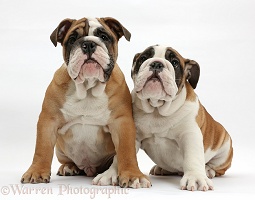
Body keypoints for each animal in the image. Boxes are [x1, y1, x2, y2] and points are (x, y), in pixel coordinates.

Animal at [21, 17, 151, 189]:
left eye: (104, 37)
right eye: (72, 39)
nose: (88, 44)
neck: (88, 87)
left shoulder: (122, 122)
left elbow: (126, 151)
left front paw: (133, 175)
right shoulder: (48, 120)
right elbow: (42, 148)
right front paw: (36, 172)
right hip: (59, 149)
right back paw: (68, 167)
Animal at [131, 44, 233, 191]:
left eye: (175, 63)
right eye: (143, 58)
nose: (156, 64)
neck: (157, 109)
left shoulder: (190, 134)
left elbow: (193, 157)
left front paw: (196, 178)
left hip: (225, 148)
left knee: (218, 167)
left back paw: (207, 170)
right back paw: (161, 168)